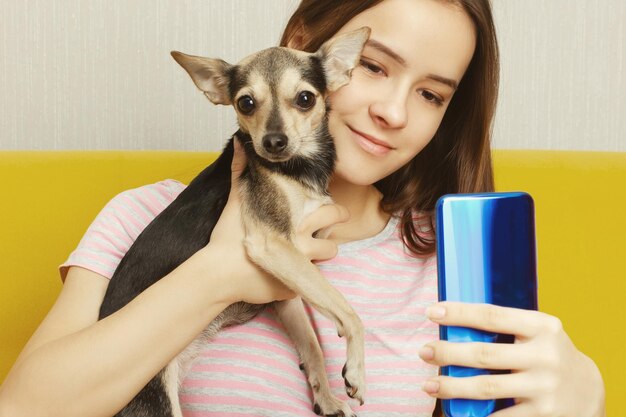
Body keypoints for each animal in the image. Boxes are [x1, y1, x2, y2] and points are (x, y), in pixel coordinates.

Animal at [97, 27, 368, 414]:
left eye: (305, 98)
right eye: (246, 103)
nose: (273, 141)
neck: (298, 172)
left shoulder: (285, 290)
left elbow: (312, 345)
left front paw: (326, 398)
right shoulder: (273, 245)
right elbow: (347, 310)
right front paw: (356, 370)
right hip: (155, 400)